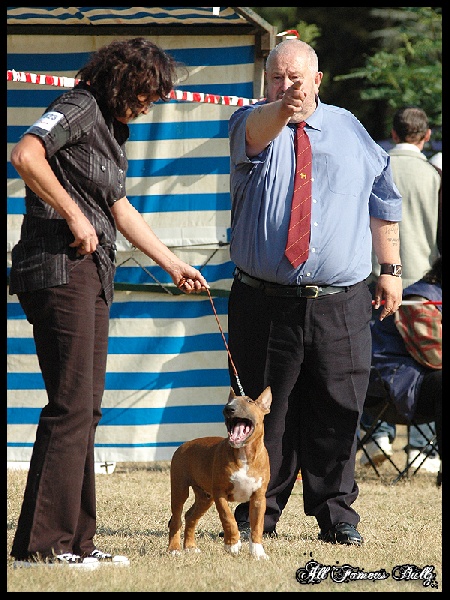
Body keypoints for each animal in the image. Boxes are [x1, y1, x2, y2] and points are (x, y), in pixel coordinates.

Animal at [168, 386, 270, 560]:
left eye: (249, 401)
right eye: (229, 401)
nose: (229, 408)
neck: (244, 454)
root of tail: (183, 445)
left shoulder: (258, 497)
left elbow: (257, 526)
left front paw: (258, 552)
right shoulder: (219, 493)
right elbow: (228, 518)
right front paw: (233, 544)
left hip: (205, 497)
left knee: (190, 516)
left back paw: (190, 547)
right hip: (180, 489)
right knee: (176, 519)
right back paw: (174, 549)